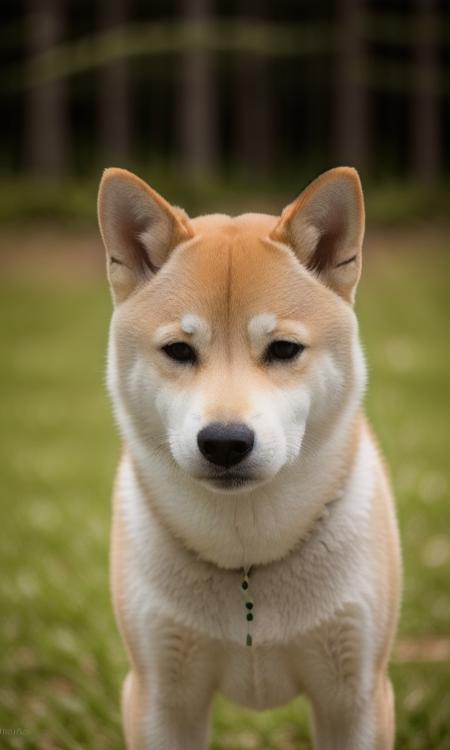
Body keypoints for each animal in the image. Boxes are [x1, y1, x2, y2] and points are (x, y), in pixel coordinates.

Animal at [97, 166, 400, 750]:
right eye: (179, 350)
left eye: (283, 349)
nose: (224, 442)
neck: (248, 562)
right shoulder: (159, 697)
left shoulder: (356, 697)